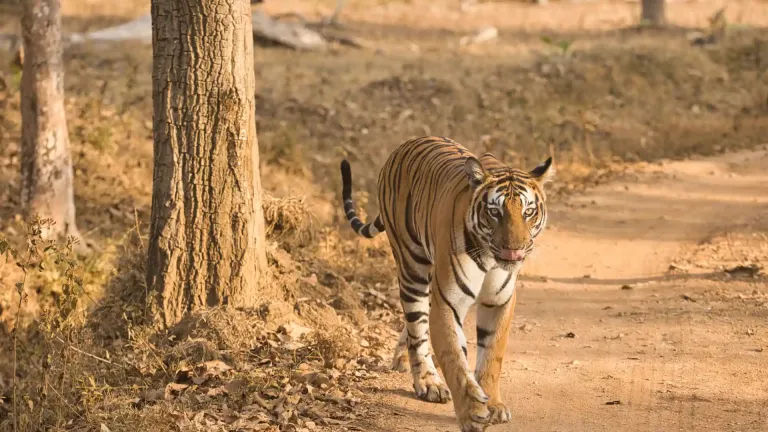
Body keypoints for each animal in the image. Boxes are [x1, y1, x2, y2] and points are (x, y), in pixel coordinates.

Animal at [339, 136, 554, 432]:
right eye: (495, 212)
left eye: (528, 212)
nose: (514, 250)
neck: (490, 259)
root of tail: (404, 145)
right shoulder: (448, 302)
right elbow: (455, 359)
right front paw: (472, 413)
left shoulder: (499, 301)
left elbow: (492, 355)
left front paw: (493, 405)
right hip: (412, 268)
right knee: (417, 327)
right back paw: (428, 382)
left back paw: (403, 358)